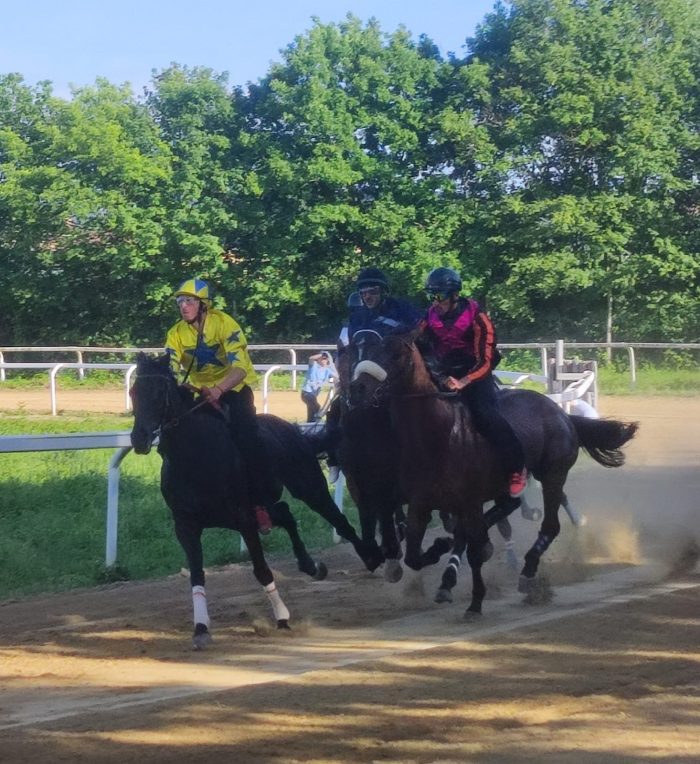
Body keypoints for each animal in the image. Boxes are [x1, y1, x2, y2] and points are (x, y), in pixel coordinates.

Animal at [129, 350, 386, 644]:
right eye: (135, 391)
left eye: (159, 393)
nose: (139, 438)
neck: (195, 455)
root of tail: (292, 429)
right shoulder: (186, 525)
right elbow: (197, 575)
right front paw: (201, 628)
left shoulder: (243, 518)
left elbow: (262, 570)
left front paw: (282, 618)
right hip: (263, 507)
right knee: (285, 512)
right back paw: (311, 565)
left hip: (308, 486)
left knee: (338, 520)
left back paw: (370, 556)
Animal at [350, 332, 640, 616]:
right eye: (371, 350)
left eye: (396, 354)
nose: (357, 388)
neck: (438, 435)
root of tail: (561, 414)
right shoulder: (422, 502)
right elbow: (414, 555)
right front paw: (440, 552)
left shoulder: (469, 501)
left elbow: (474, 549)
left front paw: (475, 601)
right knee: (502, 512)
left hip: (552, 475)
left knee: (550, 525)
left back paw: (527, 572)